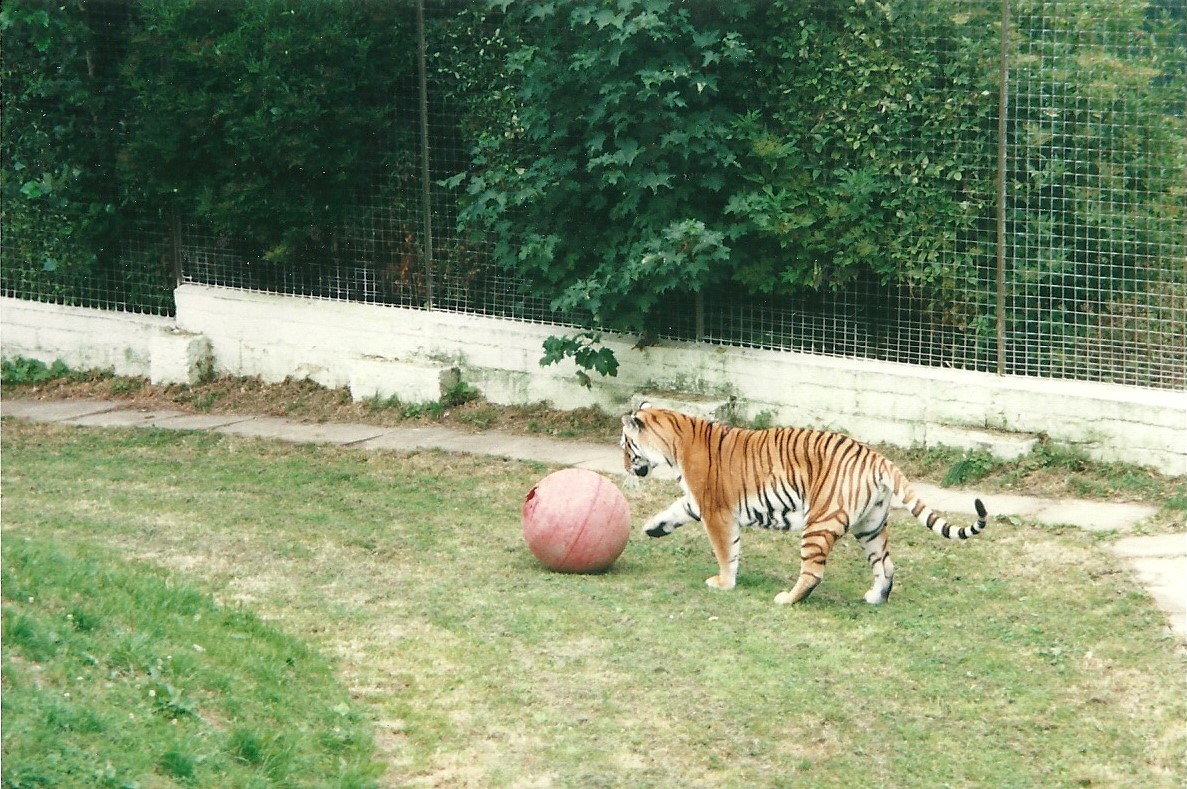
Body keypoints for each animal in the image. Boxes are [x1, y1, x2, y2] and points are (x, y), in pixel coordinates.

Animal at [620, 403, 988, 605]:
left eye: (626, 446)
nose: (624, 466)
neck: (674, 442)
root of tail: (877, 457)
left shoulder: (715, 510)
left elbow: (726, 551)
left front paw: (723, 583)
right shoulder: (702, 503)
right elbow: (676, 510)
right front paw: (652, 527)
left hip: (820, 522)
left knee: (813, 573)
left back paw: (787, 599)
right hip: (870, 526)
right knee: (886, 566)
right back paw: (875, 598)